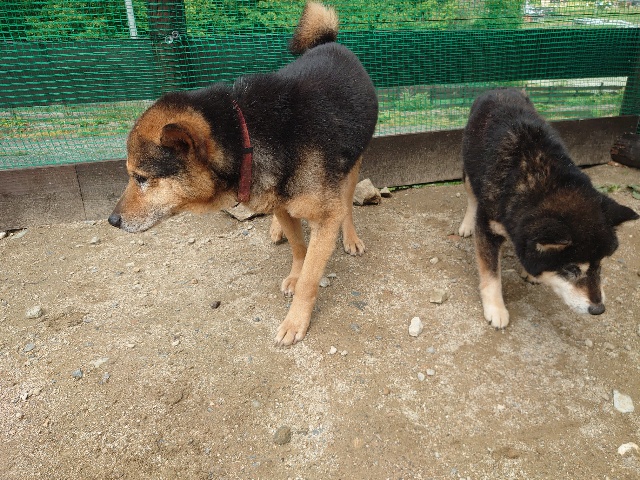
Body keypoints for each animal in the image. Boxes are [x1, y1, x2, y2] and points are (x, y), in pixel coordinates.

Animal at [107, 2, 378, 346]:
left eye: (141, 178)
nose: (112, 221)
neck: (247, 135)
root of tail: (329, 42)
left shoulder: (326, 216)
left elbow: (310, 276)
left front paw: (295, 320)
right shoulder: (276, 197)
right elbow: (299, 249)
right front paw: (294, 268)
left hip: (352, 167)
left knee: (347, 204)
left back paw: (351, 237)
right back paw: (277, 228)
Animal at [458, 88, 638, 328]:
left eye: (600, 264)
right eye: (571, 269)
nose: (598, 309)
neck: (543, 181)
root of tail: (501, 88)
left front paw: (528, 271)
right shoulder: (489, 227)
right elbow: (491, 274)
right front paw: (495, 309)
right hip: (469, 169)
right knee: (471, 197)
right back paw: (467, 224)